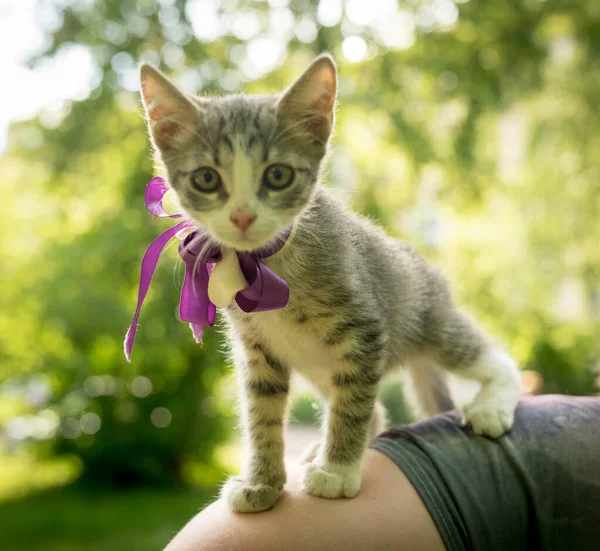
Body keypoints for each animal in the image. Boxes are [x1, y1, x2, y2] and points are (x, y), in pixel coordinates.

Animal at [139, 54, 520, 512]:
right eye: (207, 179)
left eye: (278, 175)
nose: (243, 216)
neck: (266, 264)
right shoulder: (258, 350)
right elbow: (262, 415)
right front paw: (262, 482)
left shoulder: (364, 331)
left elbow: (352, 406)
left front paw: (337, 471)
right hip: (318, 364)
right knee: (371, 409)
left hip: (429, 320)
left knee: (489, 357)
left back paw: (492, 404)